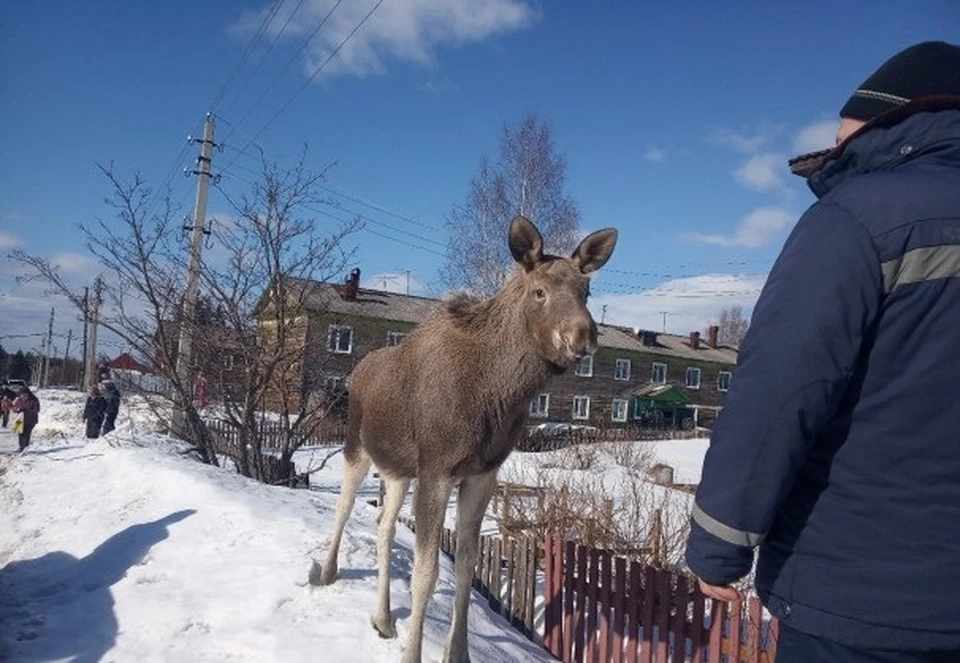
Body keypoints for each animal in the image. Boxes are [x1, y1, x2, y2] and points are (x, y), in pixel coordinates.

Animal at [318, 215, 620, 660]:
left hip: (397, 470)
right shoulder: (437, 469)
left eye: (587, 291)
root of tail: (357, 371)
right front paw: (413, 653)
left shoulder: (482, 474)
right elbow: (426, 573)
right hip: (357, 447)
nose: (583, 337)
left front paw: (456, 651)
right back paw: (325, 574)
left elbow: (465, 566)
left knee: (384, 523)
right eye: (540, 291)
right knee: (344, 506)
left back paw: (384, 618)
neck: (499, 393)